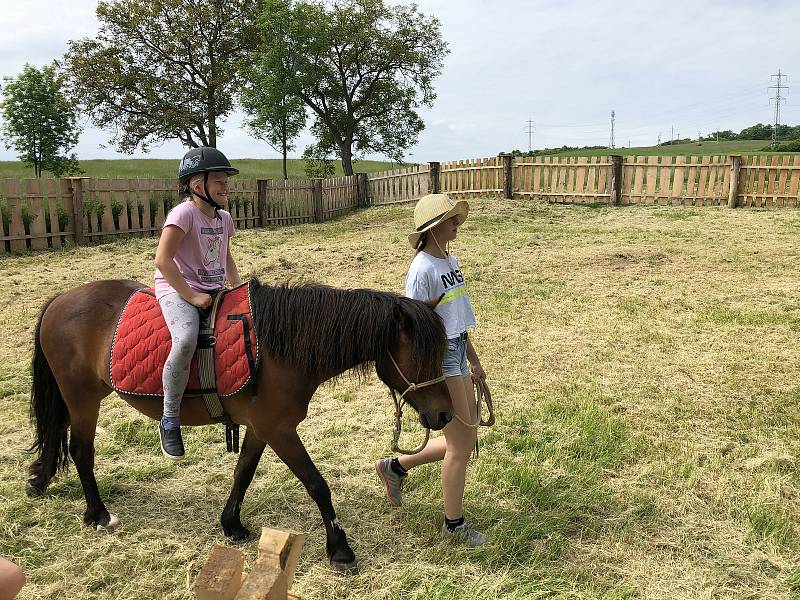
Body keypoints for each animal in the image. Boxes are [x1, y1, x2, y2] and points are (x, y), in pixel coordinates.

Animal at [28, 278, 454, 572]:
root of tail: (59, 300)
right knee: (81, 451)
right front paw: (339, 548)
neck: (279, 348)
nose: (445, 415)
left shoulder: (261, 428)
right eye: (422, 357)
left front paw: (231, 525)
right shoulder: (280, 431)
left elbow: (243, 473)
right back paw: (99, 514)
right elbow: (317, 485)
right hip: (82, 399)